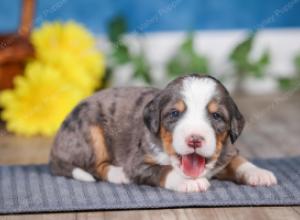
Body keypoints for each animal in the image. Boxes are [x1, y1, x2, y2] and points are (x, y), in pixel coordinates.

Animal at [49, 74, 276, 192]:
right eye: (174, 113)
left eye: (216, 116)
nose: (195, 139)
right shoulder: (139, 161)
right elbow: (165, 170)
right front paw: (189, 182)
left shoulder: (227, 151)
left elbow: (239, 161)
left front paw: (259, 173)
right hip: (91, 129)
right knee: (95, 167)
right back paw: (119, 174)